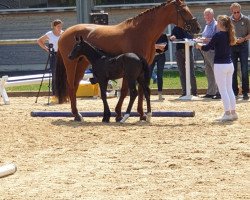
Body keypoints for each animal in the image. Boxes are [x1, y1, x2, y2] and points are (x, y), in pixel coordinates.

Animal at [55, 0, 201, 122]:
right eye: (183, 10)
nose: (197, 27)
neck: (141, 32)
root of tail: (63, 34)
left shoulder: (144, 67)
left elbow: (141, 90)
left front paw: (141, 114)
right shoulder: (129, 71)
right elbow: (126, 91)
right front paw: (119, 114)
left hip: (81, 63)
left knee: (75, 85)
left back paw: (76, 113)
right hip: (71, 64)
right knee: (71, 85)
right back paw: (77, 115)